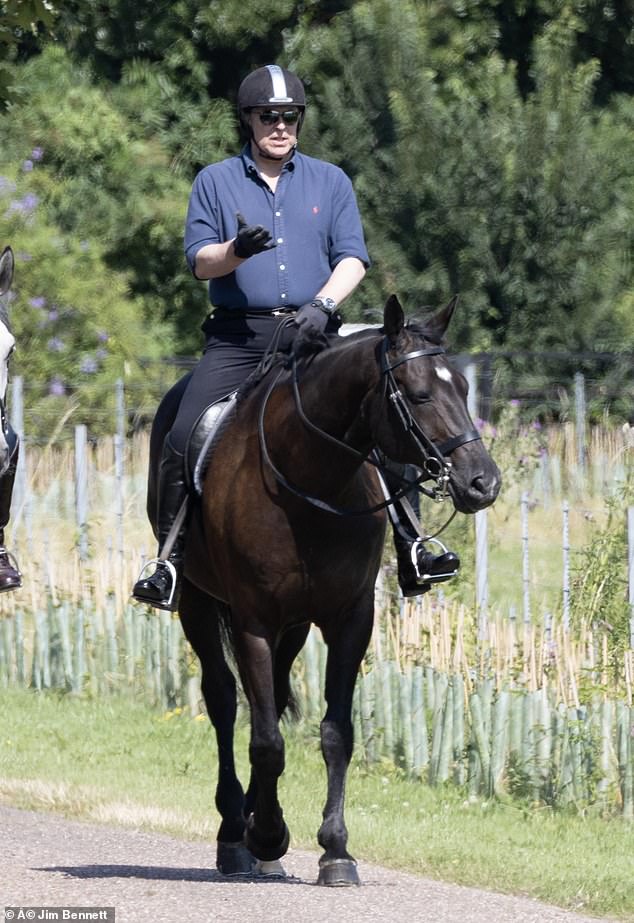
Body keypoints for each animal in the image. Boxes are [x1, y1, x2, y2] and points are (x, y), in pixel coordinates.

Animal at [147, 296, 498, 888]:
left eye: (464, 389)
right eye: (419, 393)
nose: (483, 482)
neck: (309, 478)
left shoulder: (349, 618)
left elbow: (335, 732)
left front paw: (334, 849)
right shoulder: (253, 620)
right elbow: (266, 740)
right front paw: (267, 835)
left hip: (294, 626)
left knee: (271, 697)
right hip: (198, 603)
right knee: (224, 702)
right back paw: (235, 833)